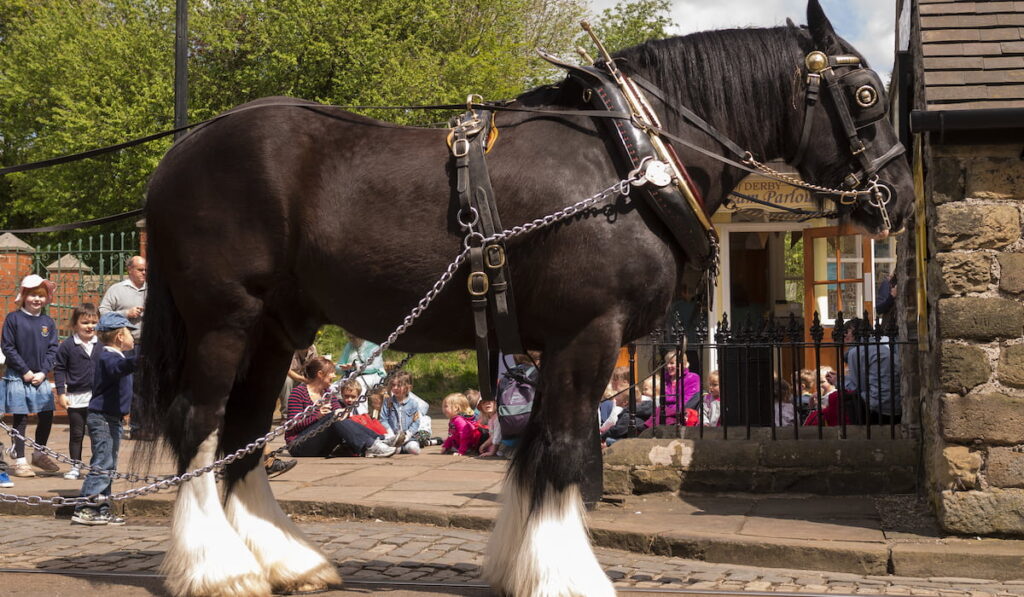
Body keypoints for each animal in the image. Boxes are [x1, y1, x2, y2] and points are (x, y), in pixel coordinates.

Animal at [136, 2, 913, 593]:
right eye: (867, 97)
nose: (900, 199)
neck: (631, 160)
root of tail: (178, 152)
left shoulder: (555, 345)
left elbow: (538, 451)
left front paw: (524, 562)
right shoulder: (589, 332)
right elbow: (565, 450)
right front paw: (568, 574)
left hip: (275, 329)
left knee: (239, 435)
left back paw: (283, 560)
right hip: (225, 319)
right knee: (196, 423)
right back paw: (216, 568)